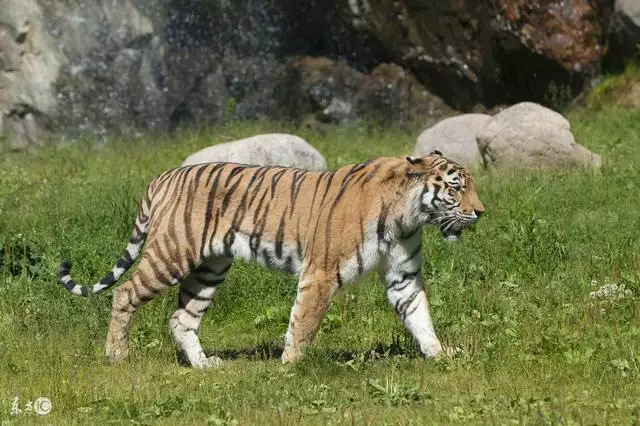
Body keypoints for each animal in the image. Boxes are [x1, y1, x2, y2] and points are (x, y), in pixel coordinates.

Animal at [57, 151, 484, 368]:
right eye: (456, 188)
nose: (481, 212)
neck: (409, 215)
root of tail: (163, 177)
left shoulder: (403, 275)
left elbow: (420, 316)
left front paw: (439, 355)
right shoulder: (321, 273)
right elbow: (304, 322)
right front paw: (290, 367)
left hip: (209, 268)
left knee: (181, 317)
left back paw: (204, 365)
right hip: (171, 253)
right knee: (124, 293)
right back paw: (116, 355)